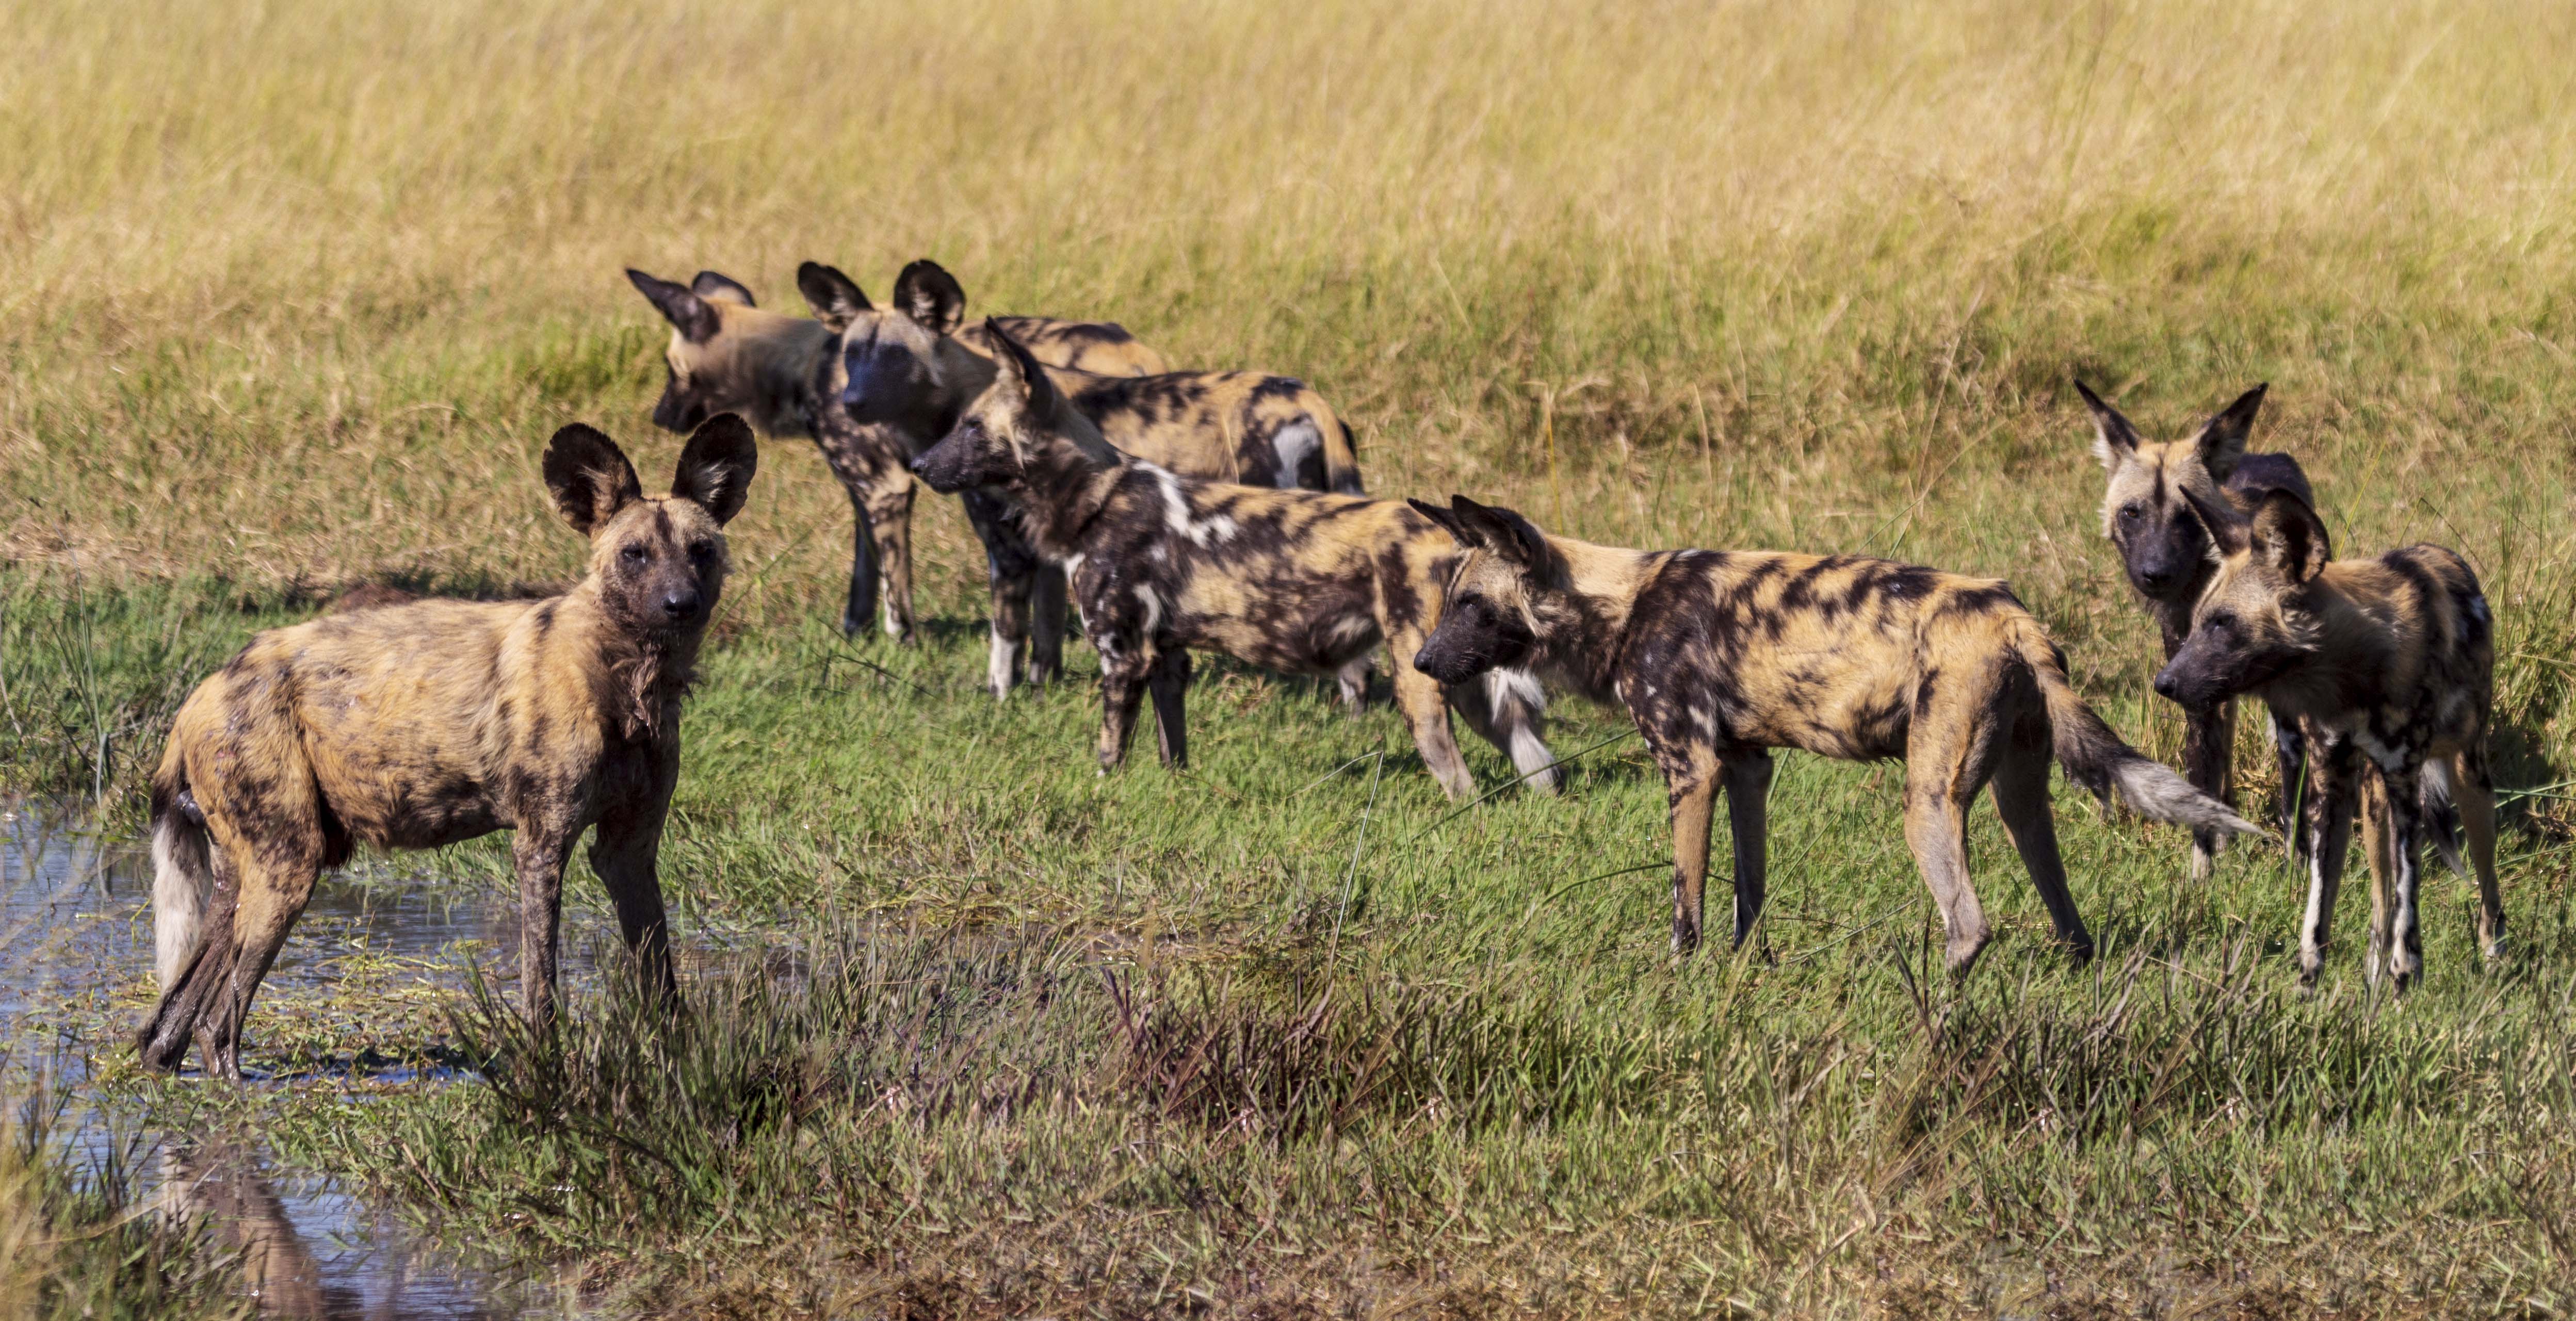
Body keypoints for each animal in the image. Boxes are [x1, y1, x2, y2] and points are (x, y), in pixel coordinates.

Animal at [136, 417, 757, 1077]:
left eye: (701, 551)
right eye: (634, 554)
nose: (680, 604)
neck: (628, 677)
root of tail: (203, 691)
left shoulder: (630, 853)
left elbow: (660, 976)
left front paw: (679, 1064)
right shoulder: (542, 846)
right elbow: (542, 982)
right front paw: (548, 1069)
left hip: (246, 876)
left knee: (166, 1025)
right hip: (289, 870)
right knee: (216, 1022)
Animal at [1404, 495, 2262, 973]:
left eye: (1472, 605)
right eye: (1450, 601)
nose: (1420, 661)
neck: (1619, 601)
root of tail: (2010, 614)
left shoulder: (1690, 770)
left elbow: (1686, 901)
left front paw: (1679, 976)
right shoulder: (1746, 769)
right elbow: (1748, 890)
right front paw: (1750, 970)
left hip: (1926, 803)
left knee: (1969, 927)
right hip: (2022, 801)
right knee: (2066, 914)